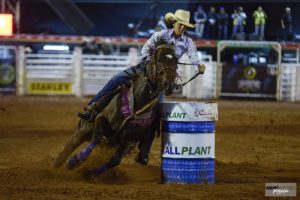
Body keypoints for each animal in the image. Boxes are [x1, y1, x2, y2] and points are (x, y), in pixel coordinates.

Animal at [52, 44, 178, 177]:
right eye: (159, 60)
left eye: (176, 61)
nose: (169, 85)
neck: (137, 104)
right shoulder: (100, 119)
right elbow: (96, 138)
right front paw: (74, 161)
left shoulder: (129, 142)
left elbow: (114, 161)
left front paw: (91, 173)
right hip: (83, 130)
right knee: (68, 148)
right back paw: (54, 168)